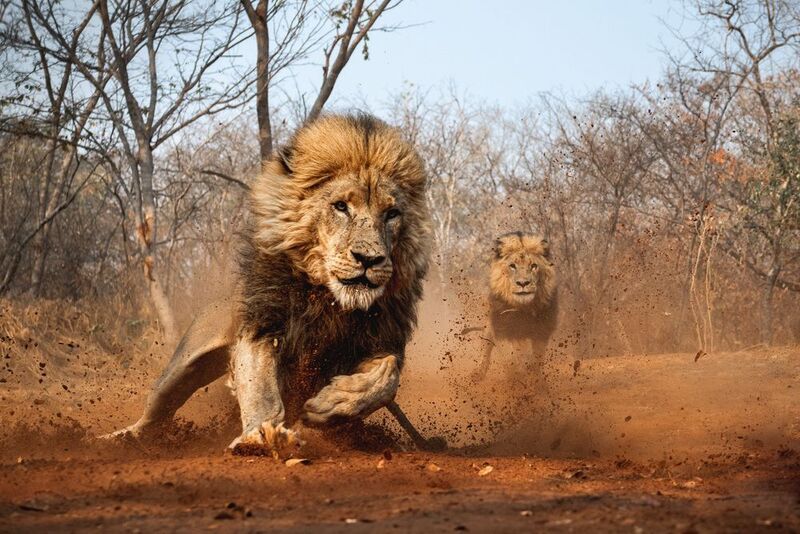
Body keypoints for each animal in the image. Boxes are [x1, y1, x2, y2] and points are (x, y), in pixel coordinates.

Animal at [103, 113, 435, 454]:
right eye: (341, 206)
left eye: (392, 214)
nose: (369, 259)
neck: (332, 300)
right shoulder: (262, 326)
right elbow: (259, 385)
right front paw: (262, 435)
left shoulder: (384, 338)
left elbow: (386, 377)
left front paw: (331, 404)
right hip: (183, 366)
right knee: (157, 409)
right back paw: (120, 438)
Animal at [470, 232, 558, 385]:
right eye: (512, 266)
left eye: (533, 266)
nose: (523, 283)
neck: (524, 308)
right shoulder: (503, 329)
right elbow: (511, 359)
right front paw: (517, 382)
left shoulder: (541, 331)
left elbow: (536, 360)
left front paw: (537, 384)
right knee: (486, 348)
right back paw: (478, 374)